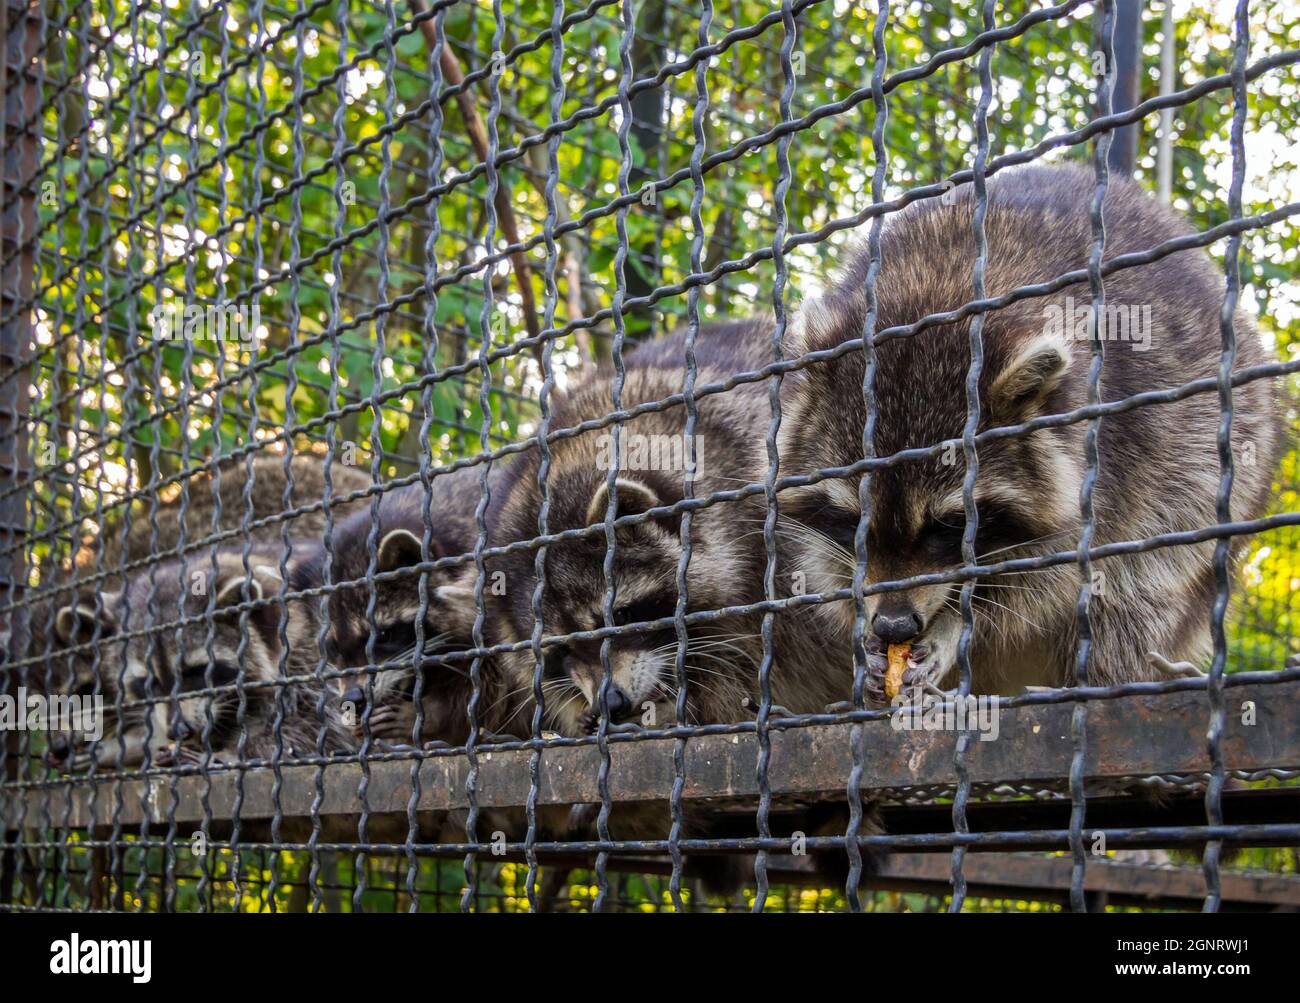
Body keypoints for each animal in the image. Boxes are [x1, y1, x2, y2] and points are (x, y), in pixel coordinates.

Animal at [778, 163, 1282, 700]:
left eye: (950, 526)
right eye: (854, 520)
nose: (893, 626)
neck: (938, 287)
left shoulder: (1118, 446)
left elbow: (1052, 572)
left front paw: (956, 622)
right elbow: (828, 560)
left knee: (1140, 589)